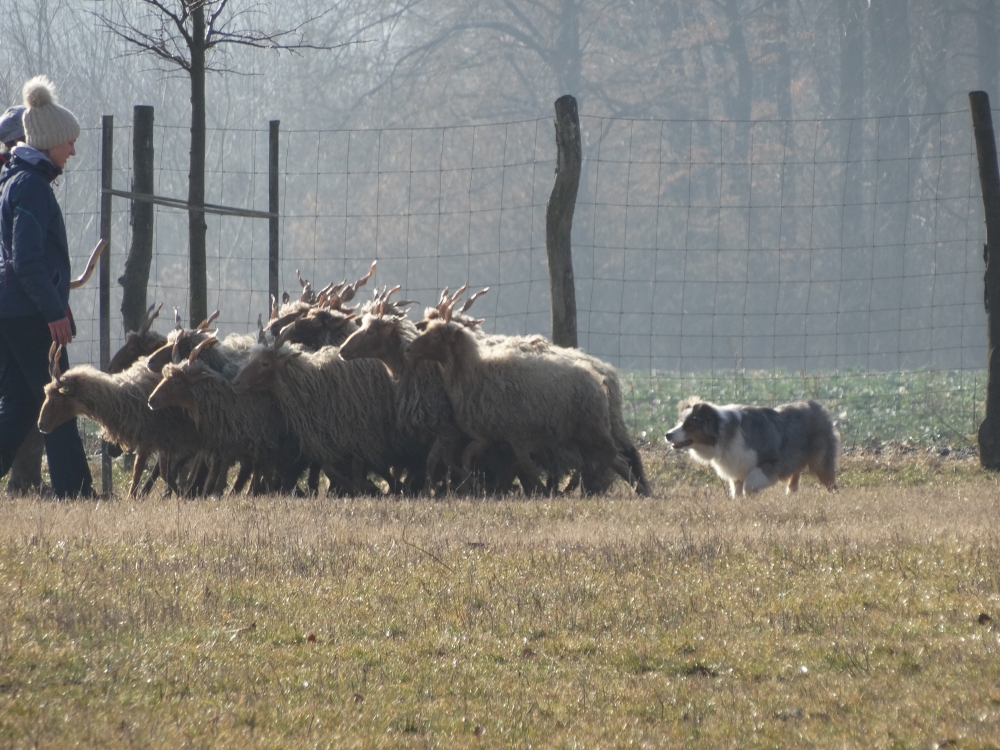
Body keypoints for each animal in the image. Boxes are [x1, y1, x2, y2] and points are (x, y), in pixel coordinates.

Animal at [668, 400, 840, 500]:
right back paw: (790, 495)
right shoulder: (737, 468)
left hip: (819, 461)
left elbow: (749, 484)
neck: (723, 433)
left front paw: (749, 496)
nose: (667, 435)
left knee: (830, 482)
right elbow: (737, 489)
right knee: (795, 476)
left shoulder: (770, 462)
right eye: (680, 422)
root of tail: (817, 406)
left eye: (689, 425)